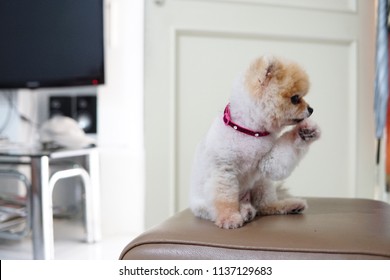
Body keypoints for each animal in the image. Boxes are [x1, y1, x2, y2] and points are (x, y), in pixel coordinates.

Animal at [189, 55, 320, 230]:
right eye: (295, 98)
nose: (311, 109)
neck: (251, 132)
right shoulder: (224, 170)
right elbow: (225, 200)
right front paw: (229, 218)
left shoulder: (268, 163)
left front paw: (305, 132)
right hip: (203, 205)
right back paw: (245, 211)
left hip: (262, 183)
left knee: (265, 206)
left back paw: (286, 205)